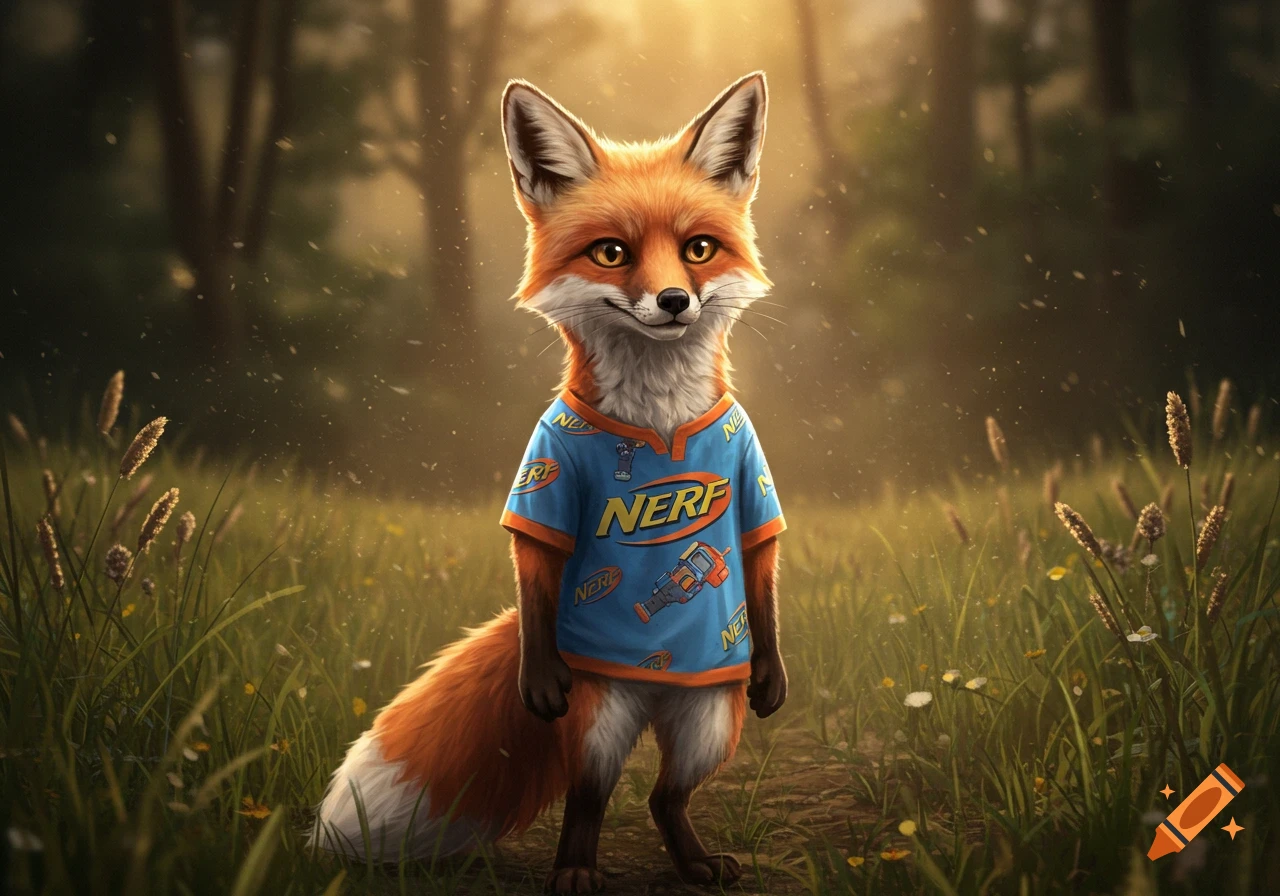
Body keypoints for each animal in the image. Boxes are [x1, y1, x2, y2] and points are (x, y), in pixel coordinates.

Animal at [312, 72, 786, 893]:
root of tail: (655, 682)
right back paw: (575, 868)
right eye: (611, 253)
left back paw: (694, 860)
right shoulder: (549, 468)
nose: (674, 302)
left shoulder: (748, 466)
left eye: (698, 249)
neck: (659, 422)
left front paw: (776, 675)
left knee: (665, 796)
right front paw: (537, 679)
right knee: (590, 793)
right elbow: (535, 556)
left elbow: (758, 558)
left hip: (707, 720)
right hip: (597, 716)